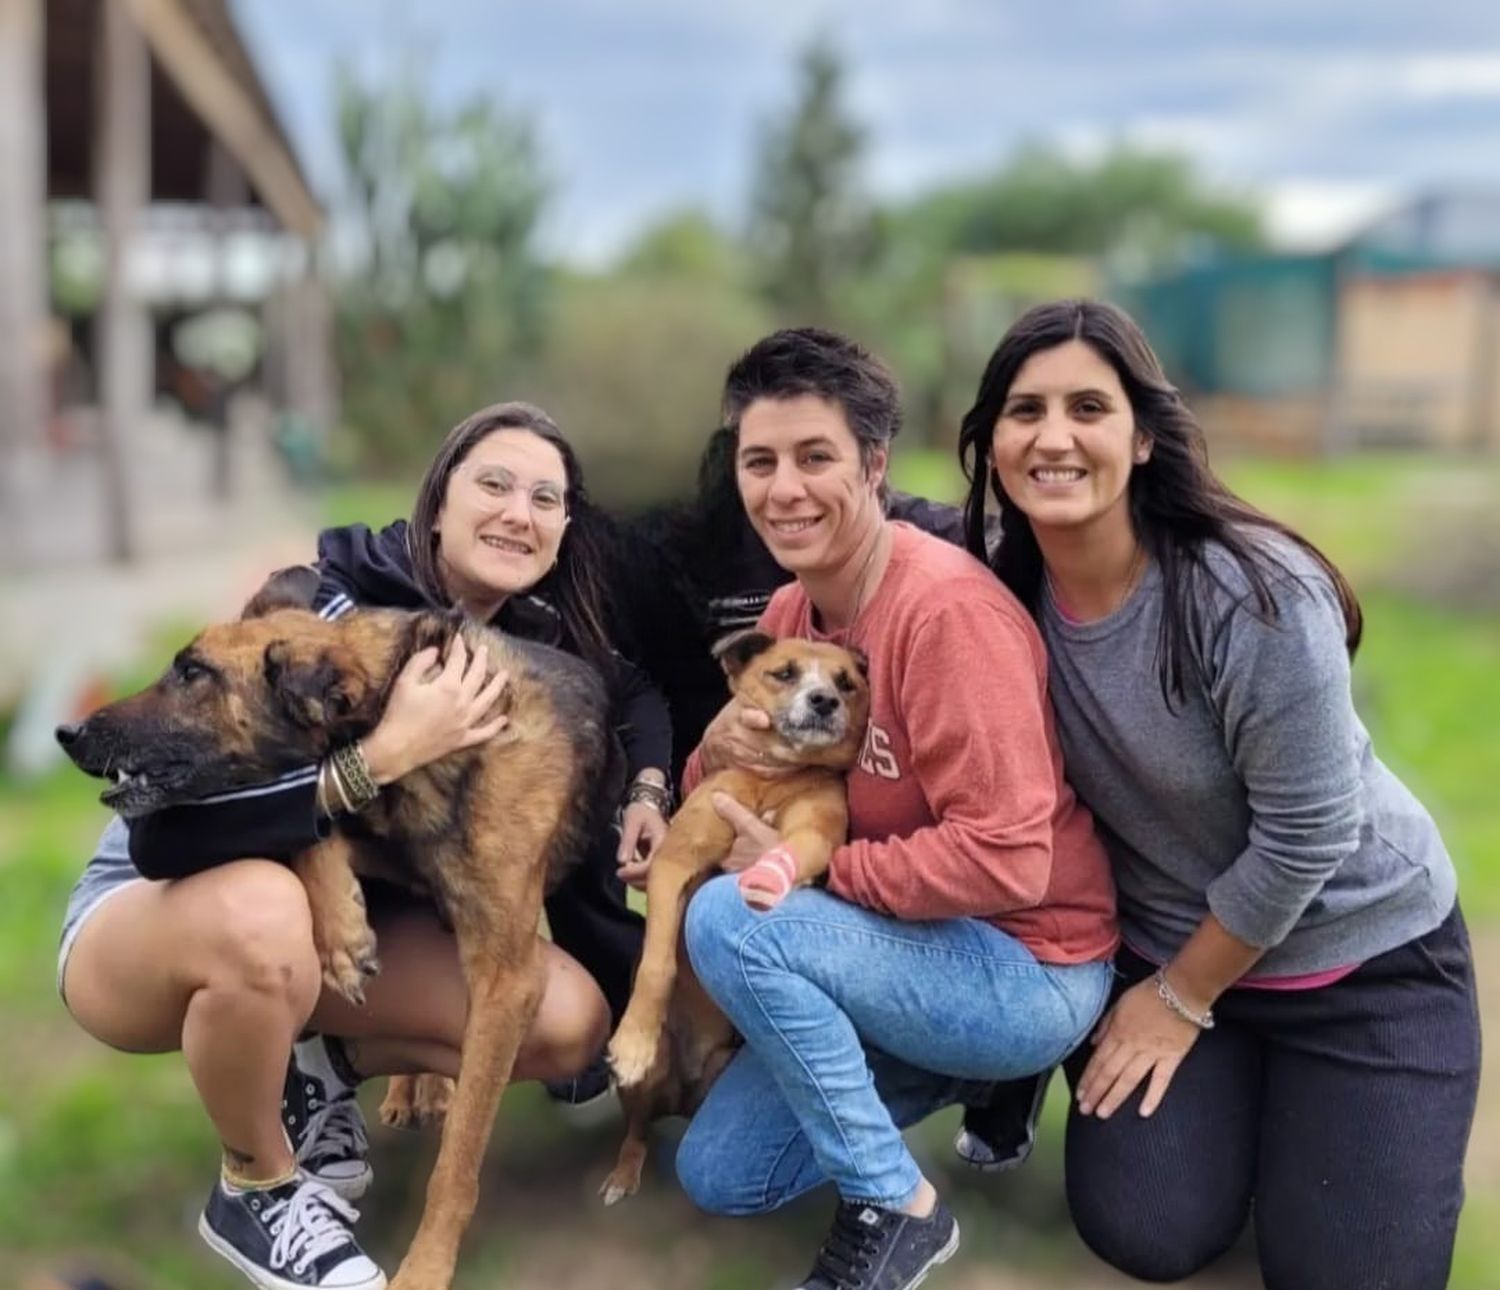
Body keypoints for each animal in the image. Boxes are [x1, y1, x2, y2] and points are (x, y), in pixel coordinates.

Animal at [57, 591, 621, 1290]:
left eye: (193, 673)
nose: (67, 734)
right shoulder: (379, 835)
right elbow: (313, 835)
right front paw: (342, 936)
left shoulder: (507, 978)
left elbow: (456, 1162)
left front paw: (426, 1268)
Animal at [603, 630, 876, 1206]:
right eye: (785, 673)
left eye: (846, 683)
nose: (825, 701)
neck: (779, 774)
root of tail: (683, 1100)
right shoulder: (673, 865)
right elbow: (656, 964)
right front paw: (633, 1038)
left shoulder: (817, 830)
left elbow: (795, 846)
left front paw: (775, 877)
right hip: (645, 1087)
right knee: (637, 1131)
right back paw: (623, 1172)